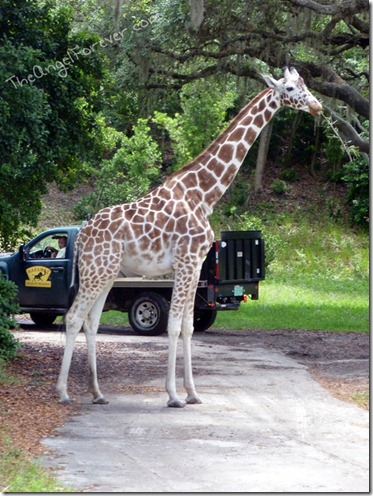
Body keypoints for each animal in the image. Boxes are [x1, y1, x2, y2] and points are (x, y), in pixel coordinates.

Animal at [56, 67, 322, 406]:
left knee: (91, 322)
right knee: (73, 317)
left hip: (107, 273)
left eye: (306, 86)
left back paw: (98, 392)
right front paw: (173, 395)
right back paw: (63, 392)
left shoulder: (195, 266)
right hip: (96, 271)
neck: (205, 195)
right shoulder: (185, 262)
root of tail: (82, 235)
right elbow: (171, 326)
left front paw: (193, 393)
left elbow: (188, 326)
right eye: (289, 89)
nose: (317, 106)